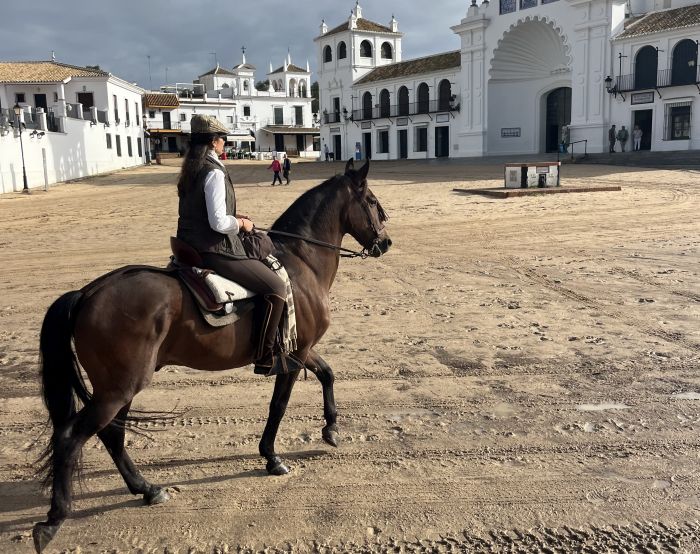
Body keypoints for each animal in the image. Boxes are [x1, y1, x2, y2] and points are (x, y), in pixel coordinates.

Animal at [32, 157, 392, 548]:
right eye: (372, 201)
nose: (386, 242)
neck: (301, 262)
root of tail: (88, 292)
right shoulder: (294, 355)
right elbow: (279, 406)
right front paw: (272, 457)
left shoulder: (301, 349)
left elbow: (327, 374)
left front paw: (331, 428)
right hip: (118, 388)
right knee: (73, 437)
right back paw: (53, 520)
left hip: (118, 388)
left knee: (112, 434)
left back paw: (146, 489)